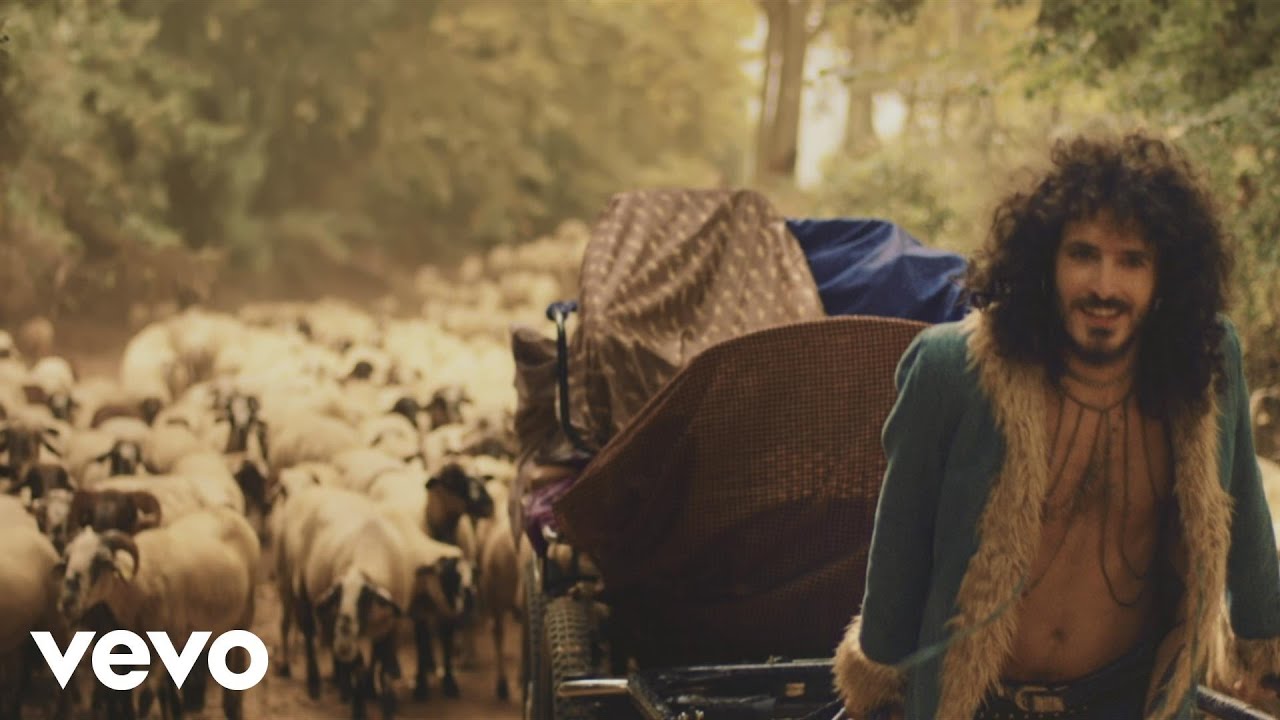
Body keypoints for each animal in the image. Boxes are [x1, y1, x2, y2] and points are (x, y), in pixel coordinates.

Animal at [56, 504, 259, 717]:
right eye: (67, 560)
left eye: (102, 562)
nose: (67, 602)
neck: (140, 582)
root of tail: (229, 513)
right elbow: (156, 693)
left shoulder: (168, 643)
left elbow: (146, 697)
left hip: (245, 614)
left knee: (239, 662)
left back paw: (234, 708)